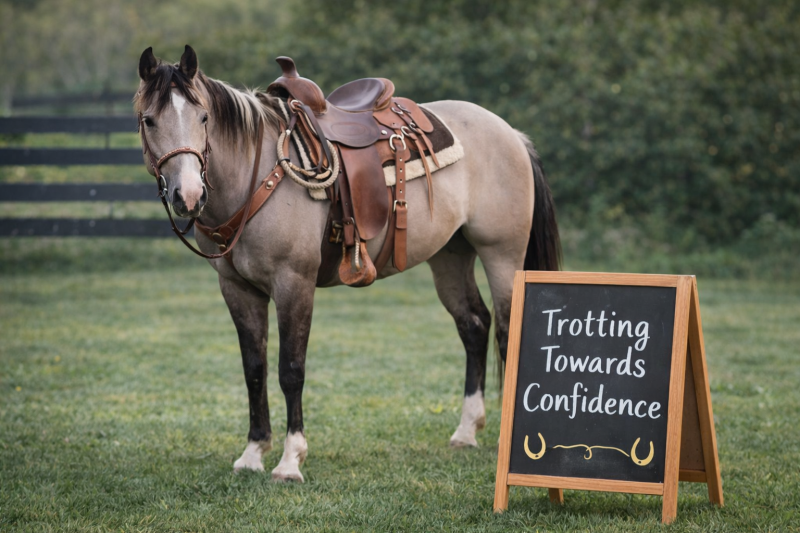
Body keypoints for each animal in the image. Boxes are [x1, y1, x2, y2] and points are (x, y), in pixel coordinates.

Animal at [134, 45, 561, 482]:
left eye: (203, 117)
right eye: (148, 120)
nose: (188, 195)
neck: (257, 176)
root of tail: (511, 133)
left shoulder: (294, 283)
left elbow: (291, 369)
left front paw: (290, 461)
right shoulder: (237, 289)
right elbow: (254, 368)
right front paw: (252, 454)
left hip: (502, 253)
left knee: (508, 331)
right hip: (450, 257)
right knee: (474, 326)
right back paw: (467, 430)